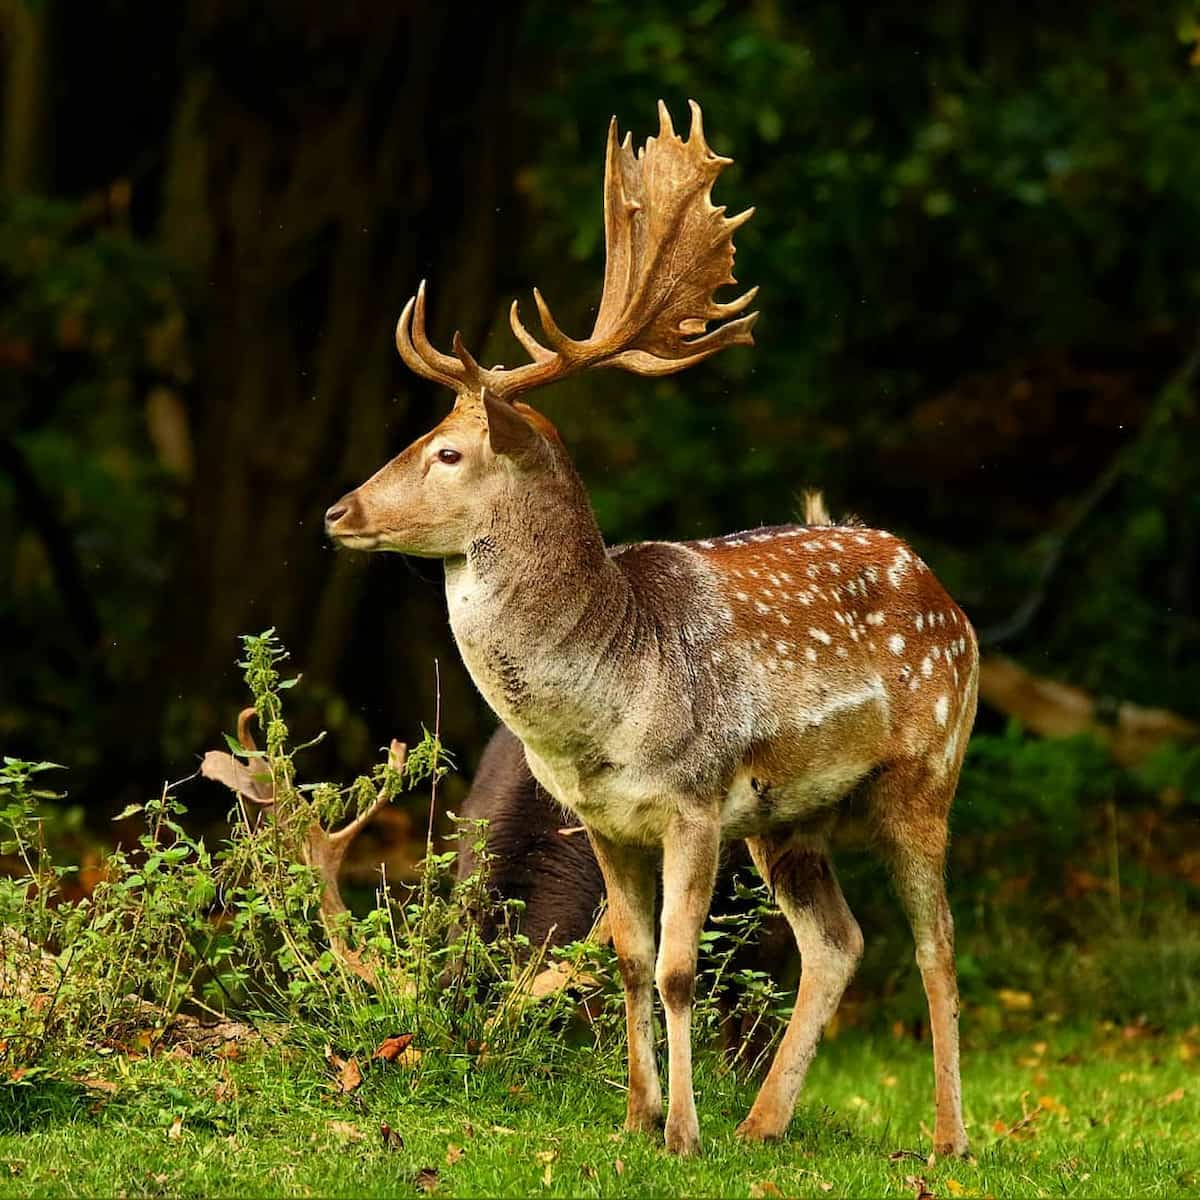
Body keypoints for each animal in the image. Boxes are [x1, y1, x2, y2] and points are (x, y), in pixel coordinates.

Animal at [324, 105, 979, 1161]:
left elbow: (676, 969)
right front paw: (636, 1119)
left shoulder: (696, 800)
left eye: (449, 452)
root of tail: (941, 590)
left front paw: (680, 1134)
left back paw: (948, 1140)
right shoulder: (602, 817)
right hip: (790, 819)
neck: (606, 702)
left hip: (926, 775)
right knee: (838, 942)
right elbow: (630, 962)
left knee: (935, 943)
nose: (340, 511)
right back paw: (762, 1124)